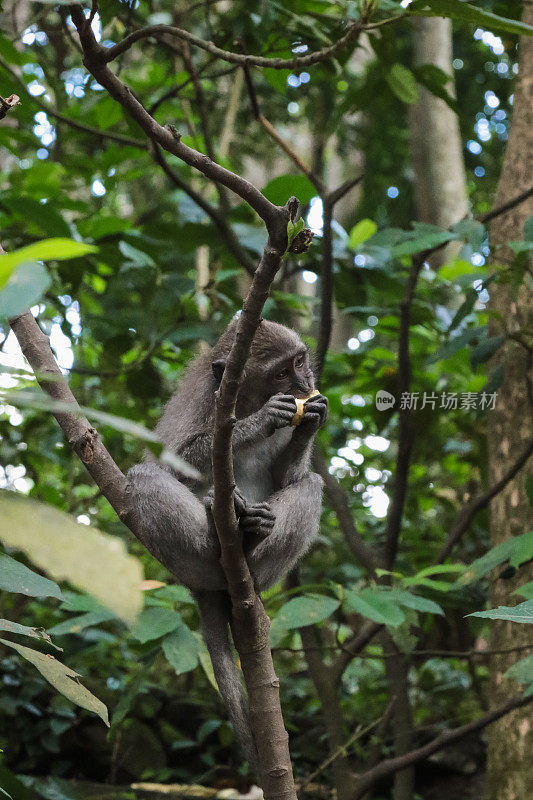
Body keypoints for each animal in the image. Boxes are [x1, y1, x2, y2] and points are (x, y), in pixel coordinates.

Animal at [127, 318, 326, 768]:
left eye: (299, 361)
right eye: (281, 373)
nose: (305, 382)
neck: (245, 398)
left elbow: (289, 477)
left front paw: (308, 422)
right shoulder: (205, 402)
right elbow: (172, 461)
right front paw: (254, 424)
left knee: (310, 484)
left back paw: (251, 544)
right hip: (186, 562)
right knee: (144, 476)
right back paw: (222, 531)